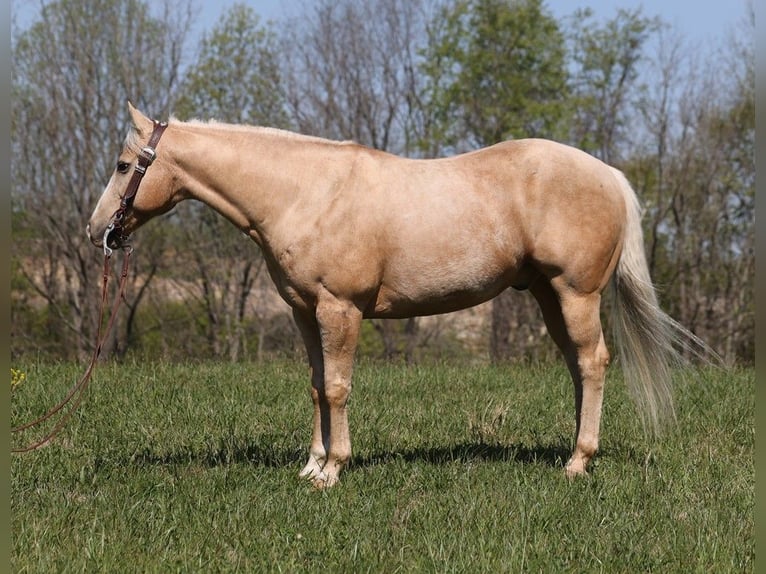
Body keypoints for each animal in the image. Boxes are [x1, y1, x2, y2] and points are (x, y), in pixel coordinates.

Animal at [87, 101, 704, 488]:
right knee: (578, 366)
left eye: (123, 165)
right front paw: (311, 465)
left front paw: (333, 471)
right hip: (549, 296)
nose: (98, 232)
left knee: (594, 362)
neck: (304, 193)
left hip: (576, 293)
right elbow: (317, 386)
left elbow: (338, 387)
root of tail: (609, 174)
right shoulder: (305, 312)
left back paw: (579, 462)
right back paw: (571, 452)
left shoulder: (340, 309)